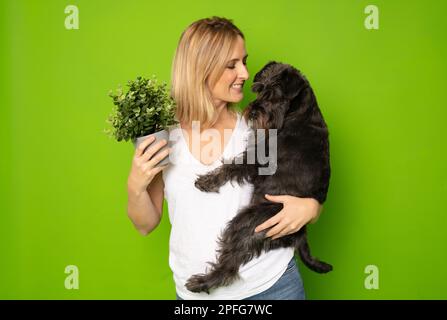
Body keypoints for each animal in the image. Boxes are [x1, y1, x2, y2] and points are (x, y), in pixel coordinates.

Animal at [186, 61, 332, 294]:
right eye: (259, 89)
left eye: (276, 95)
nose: (254, 111)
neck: (298, 114)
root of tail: (300, 233)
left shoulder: (259, 158)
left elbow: (232, 166)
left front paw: (207, 181)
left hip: (249, 221)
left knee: (229, 267)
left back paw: (202, 282)